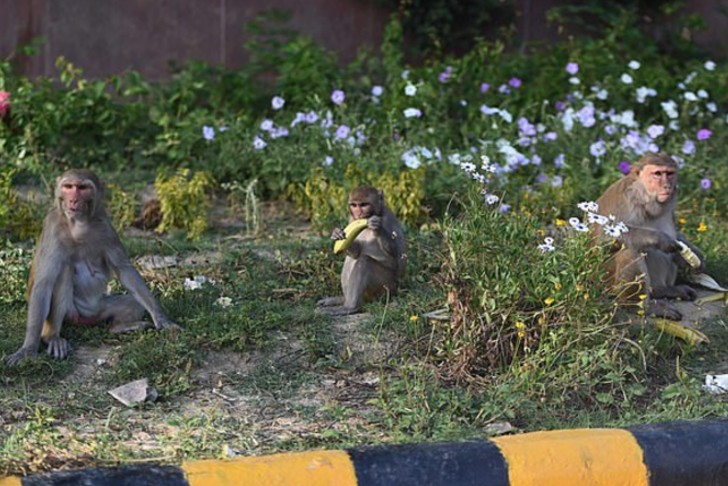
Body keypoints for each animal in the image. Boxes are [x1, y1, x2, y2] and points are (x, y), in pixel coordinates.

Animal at [3, 169, 179, 366]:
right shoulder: (53, 227)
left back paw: (120, 327)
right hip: (71, 313)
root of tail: (86, 319)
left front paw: (161, 317)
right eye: (68, 187)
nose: (73, 200)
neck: (78, 223)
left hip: (99, 309)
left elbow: (124, 269)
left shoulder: (105, 224)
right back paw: (51, 336)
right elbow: (44, 284)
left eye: (82, 188)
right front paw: (28, 349)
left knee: (131, 302)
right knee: (63, 273)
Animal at [318, 185, 410, 316]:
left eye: (364, 204)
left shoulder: (388, 217)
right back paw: (343, 299)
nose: (358, 212)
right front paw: (337, 234)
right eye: (354, 205)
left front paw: (377, 228)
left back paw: (350, 307)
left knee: (364, 261)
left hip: (386, 287)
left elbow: (398, 255)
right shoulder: (351, 219)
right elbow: (355, 252)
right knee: (353, 259)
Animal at [592, 152, 704, 318]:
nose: (667, 186)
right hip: (603, 281)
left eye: (669, 174)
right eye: (657, 174)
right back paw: (639, 306)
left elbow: (677, 237)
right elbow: (602, 243)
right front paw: (659, 239)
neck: (645, 200)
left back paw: (663, 290)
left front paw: (694, 256)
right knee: (630, 251)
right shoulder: (623, 201)